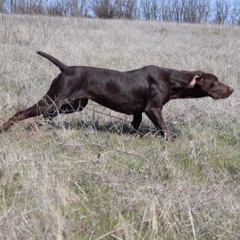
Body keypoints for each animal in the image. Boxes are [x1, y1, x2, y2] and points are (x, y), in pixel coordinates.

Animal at [0, 51, 232, 140]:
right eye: (215, 82)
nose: (231, 89)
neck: (171, 79)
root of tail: (66, 68)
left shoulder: (139, 111)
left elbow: (135, 125)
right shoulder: (153, 109)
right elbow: (165, 129)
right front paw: (173, 141)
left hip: (74, 104)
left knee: (47, 115)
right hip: (54, 100)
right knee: (23, 112)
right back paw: (6, 128)